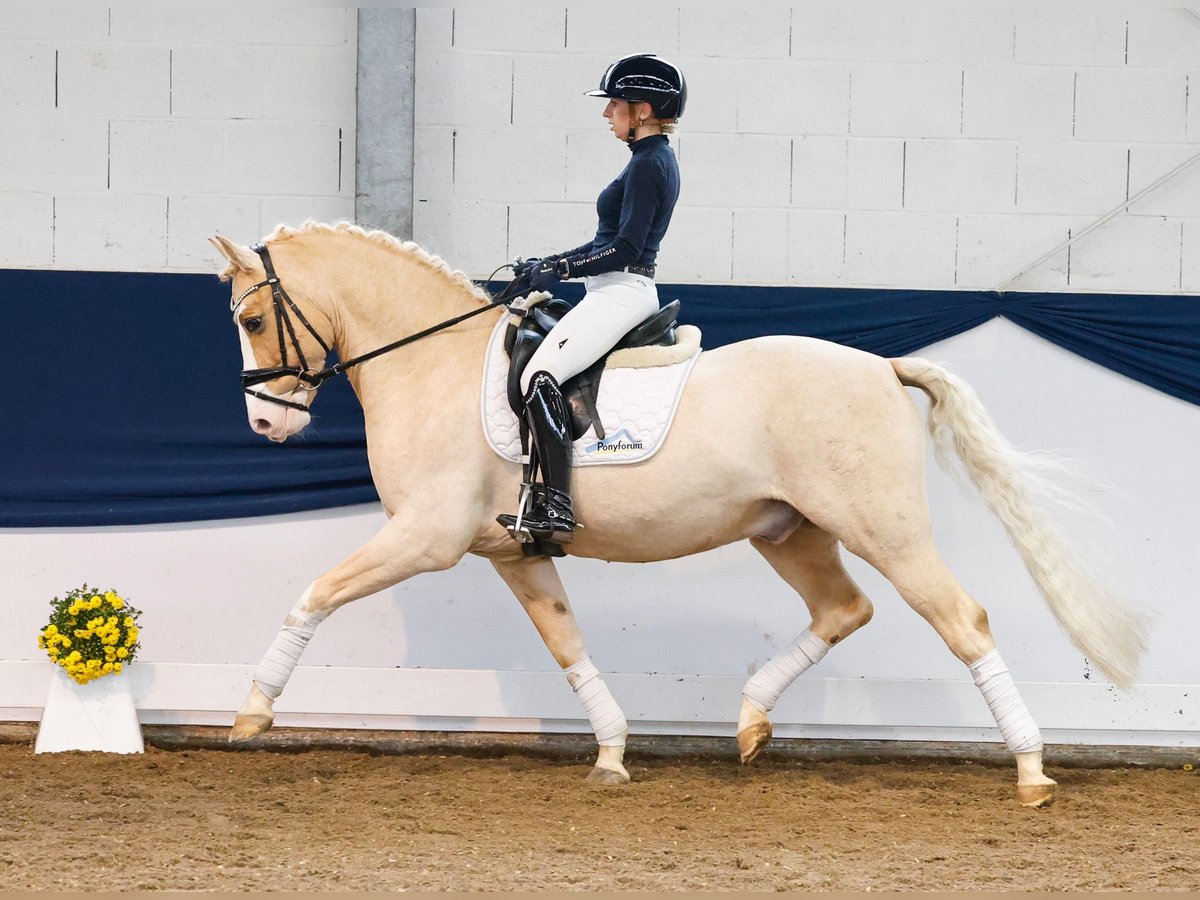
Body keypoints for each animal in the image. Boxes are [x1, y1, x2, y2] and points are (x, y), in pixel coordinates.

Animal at [211, 220, 1147, 811]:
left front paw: (253, 713)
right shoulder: (516, 554)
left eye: (254, 318)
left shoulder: (424, 538)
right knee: (845, 609)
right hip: (788, 530)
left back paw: (1031, 773)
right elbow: (567, 646)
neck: (431, 364)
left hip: (884, 528)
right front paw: (613, 754)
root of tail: (882, 366)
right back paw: (750, 723)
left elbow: (315, 593)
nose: (265, 426)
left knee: (962, 619)